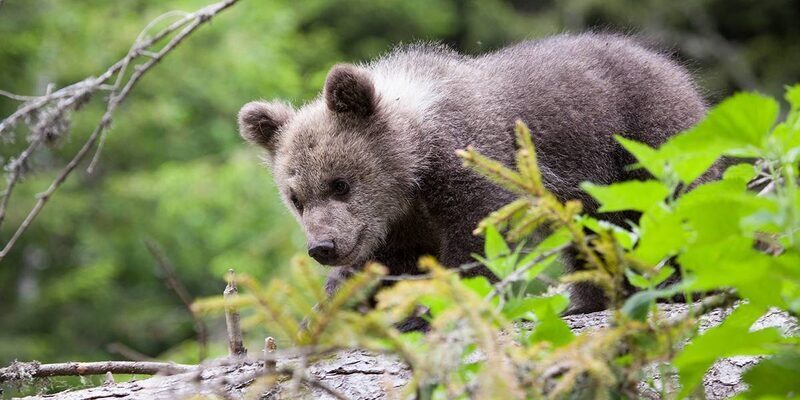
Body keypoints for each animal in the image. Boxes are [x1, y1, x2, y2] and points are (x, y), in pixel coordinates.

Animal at [237, 33, 707, 315]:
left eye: (340, 183)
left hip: (646, 140)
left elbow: (477, 238)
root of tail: (671, 65)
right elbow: (394, 263)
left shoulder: (474, 163)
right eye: (296, 198)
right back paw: (589, 300)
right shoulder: (401, 222)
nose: (323, 247)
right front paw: (339, 300)